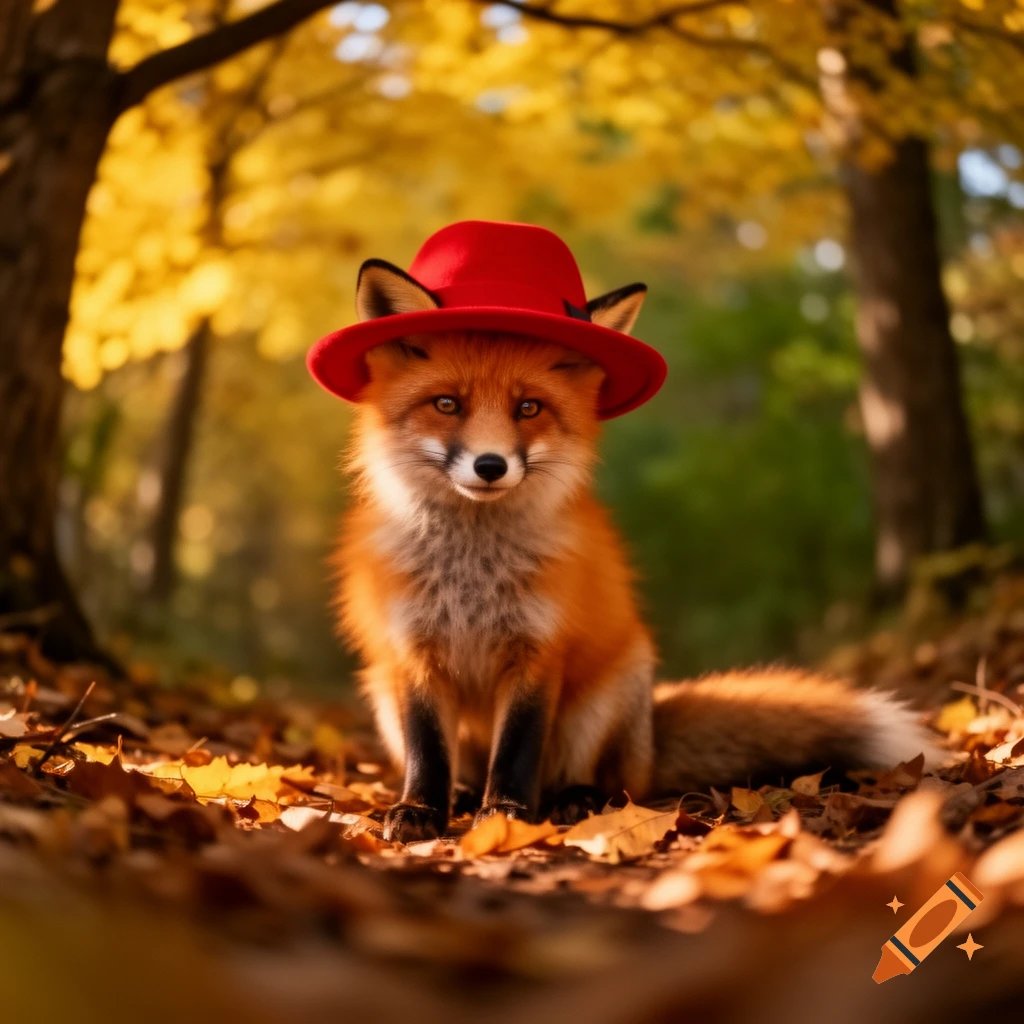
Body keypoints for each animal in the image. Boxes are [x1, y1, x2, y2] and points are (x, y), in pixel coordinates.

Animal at [333, 257, 940, 844]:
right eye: (446, 404)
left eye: (528, 408)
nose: (490, 465)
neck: (472, 573)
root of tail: (650, 744)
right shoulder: (413, 654)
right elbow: (427, 752)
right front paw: (419, 811)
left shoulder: (539, 651)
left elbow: (517, 752)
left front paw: (506, 816)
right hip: (380, 691)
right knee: (467, 768)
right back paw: (463, 797)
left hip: (609, 691)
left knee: (606, 783)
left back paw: (573, 800)